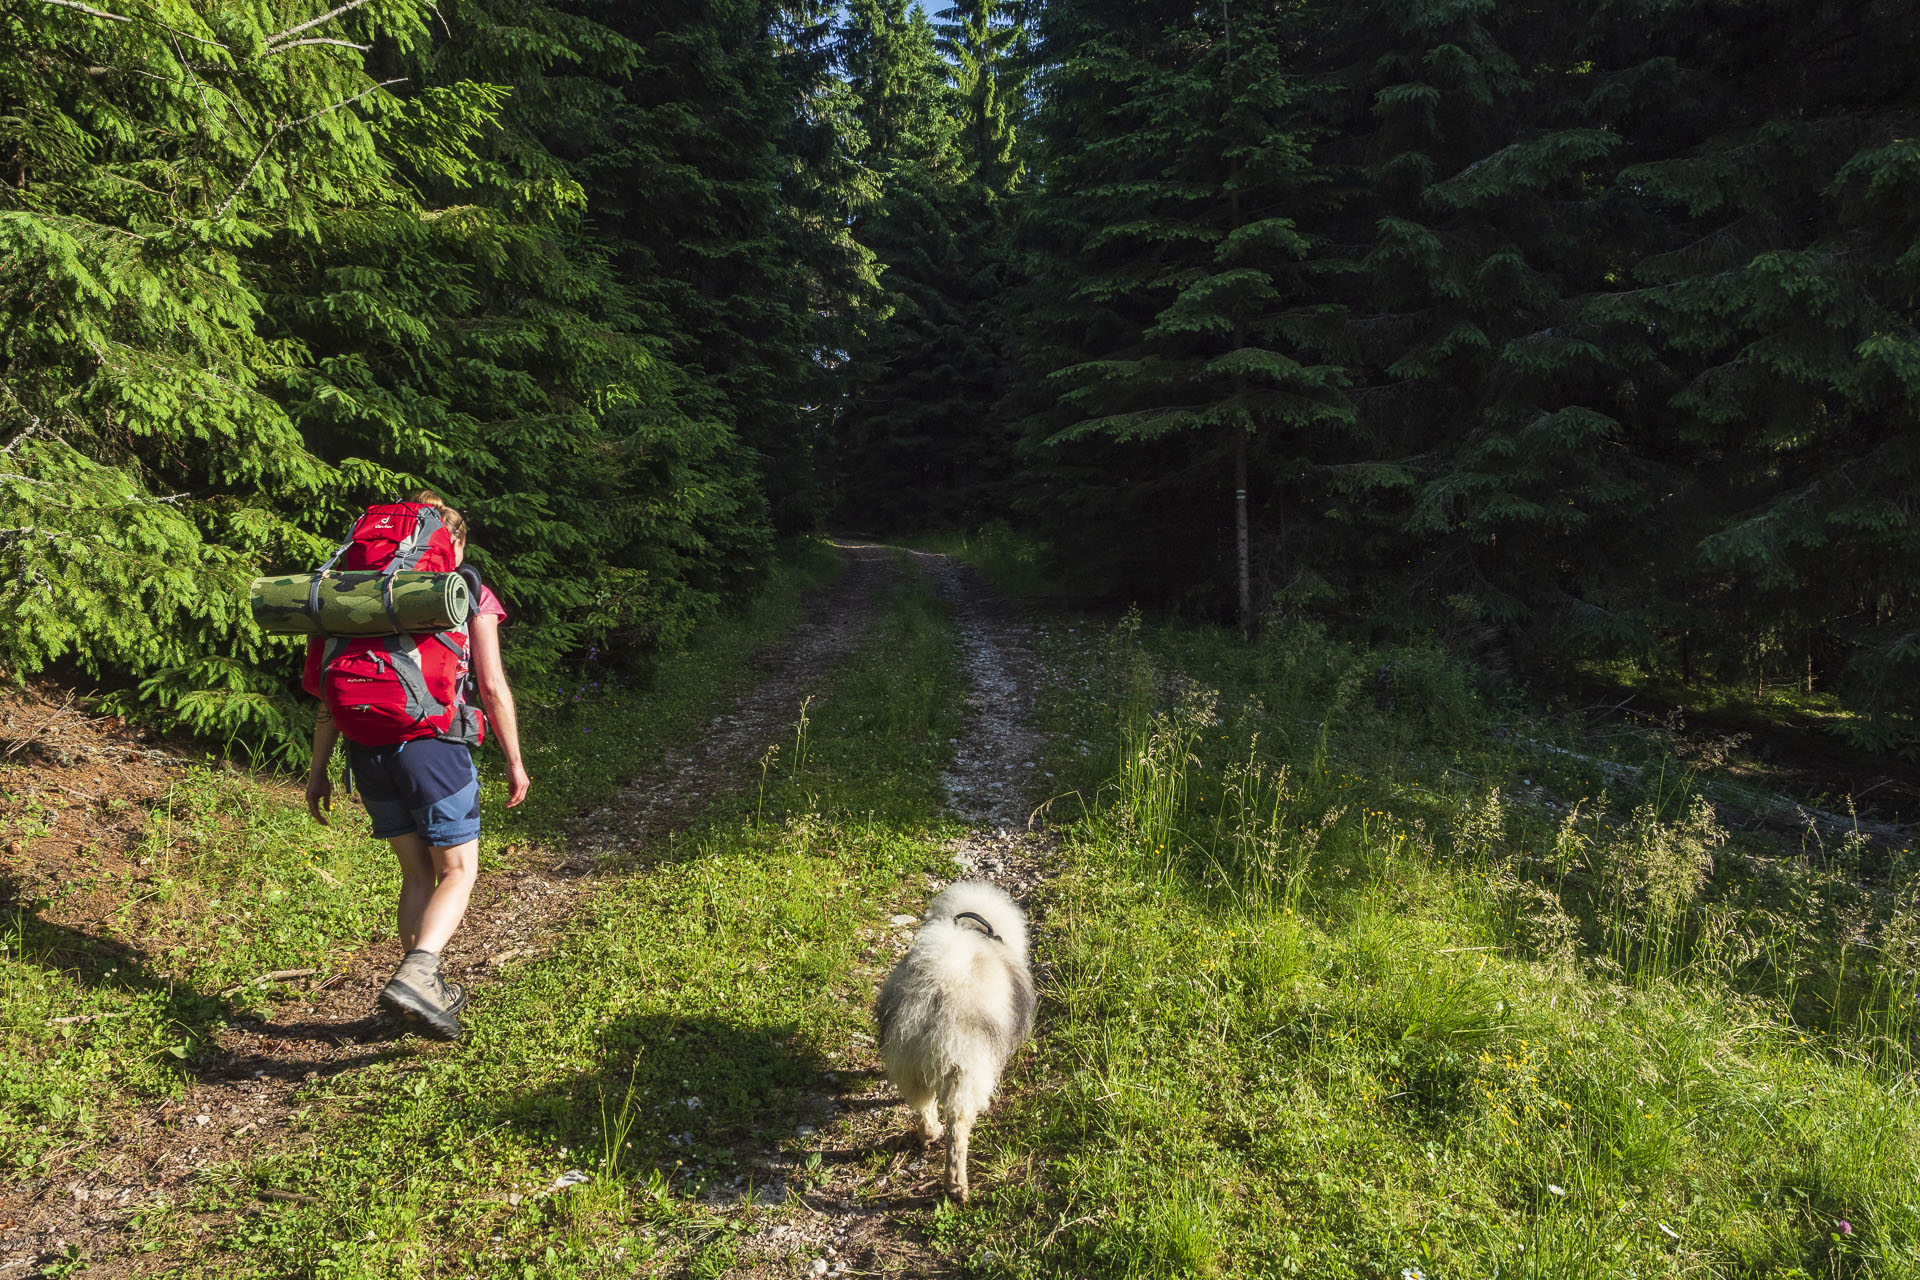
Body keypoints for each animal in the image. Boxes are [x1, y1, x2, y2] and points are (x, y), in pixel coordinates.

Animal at [879, 882, 1044, 1205]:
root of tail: (936, 992)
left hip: (910, 1062)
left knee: (922, 1107)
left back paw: (930, 1136)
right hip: (965, 1072)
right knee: (958, 1128)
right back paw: (957, 1187)